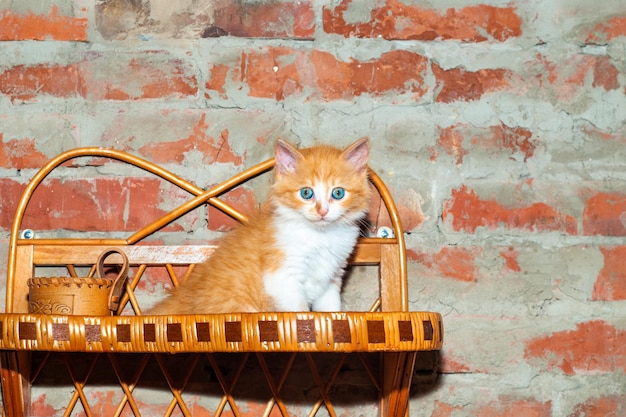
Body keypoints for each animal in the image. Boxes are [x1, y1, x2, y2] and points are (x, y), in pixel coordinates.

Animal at [148, 138, 368, 314]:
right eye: (306, 193)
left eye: (338, 193)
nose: (322, 211)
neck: (320, 236)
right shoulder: (281, 276)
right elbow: (299, 311)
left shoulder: (332, 276)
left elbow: (330, 310)